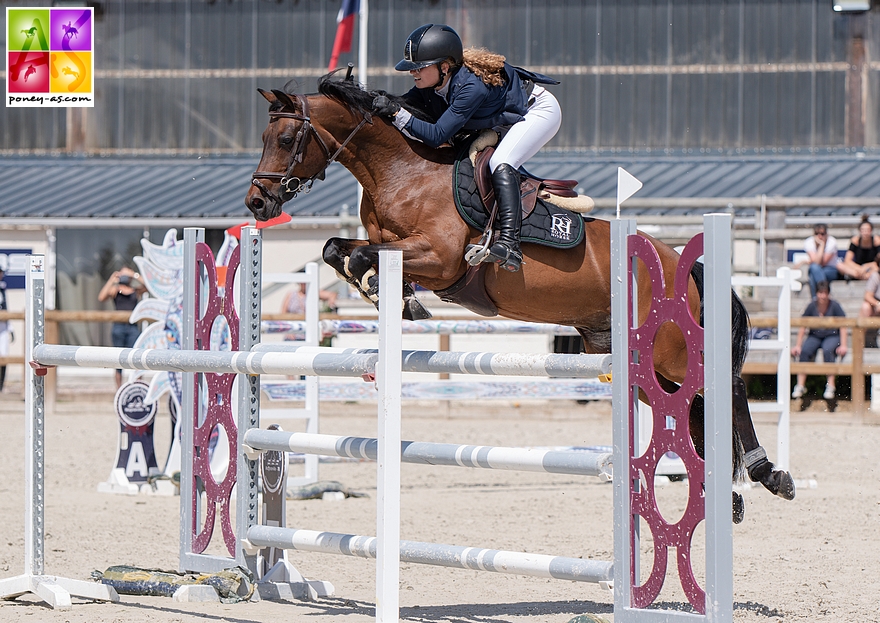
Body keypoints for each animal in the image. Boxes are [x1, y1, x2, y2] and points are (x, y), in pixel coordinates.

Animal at [244, 72, 796, 516]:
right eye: (265, 136)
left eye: (287, 137)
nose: (257, 202)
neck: (402, 172)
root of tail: (681, 262)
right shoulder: (394, 247)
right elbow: (336, 248)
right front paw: (391, 293)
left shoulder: (440, 259)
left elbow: (364, 257)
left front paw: (388, 290)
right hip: (636, 359)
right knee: (692, 405)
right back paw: (725, 495)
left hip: (671, 347)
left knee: (728, 386)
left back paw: (769, 475)